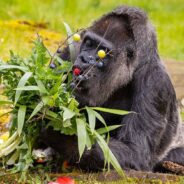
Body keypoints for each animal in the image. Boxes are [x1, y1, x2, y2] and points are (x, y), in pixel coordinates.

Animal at [42, 6, 184, 172]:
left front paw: (58, 134)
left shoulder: (155, 84)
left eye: (102, 51)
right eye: (89, 43)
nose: (84, 59)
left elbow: (135, 152)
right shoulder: (70, 51)